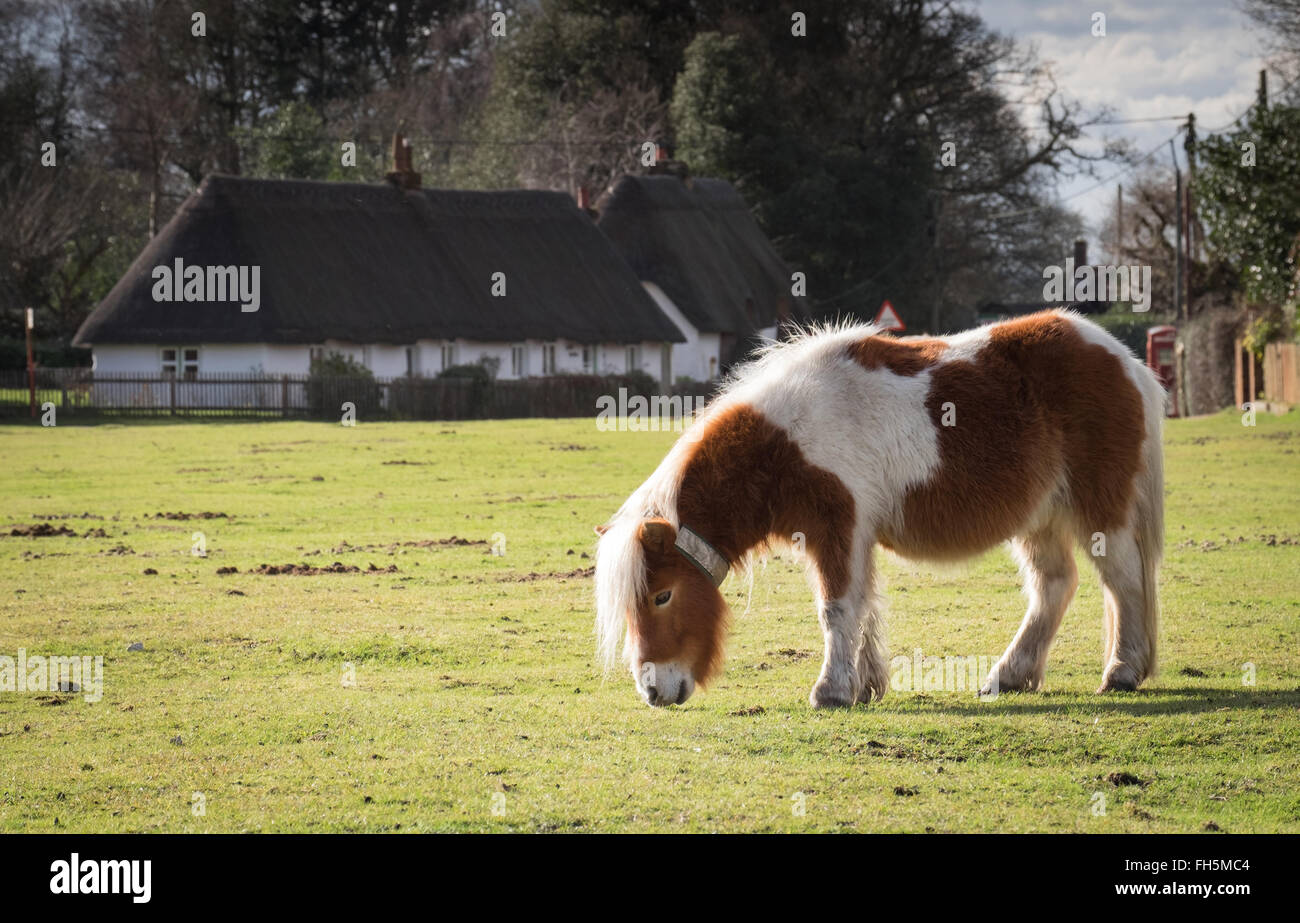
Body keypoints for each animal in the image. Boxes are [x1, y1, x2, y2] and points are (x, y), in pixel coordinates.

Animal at [598, 310, 1170, 707]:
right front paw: (865, 684)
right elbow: (863, 604)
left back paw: (1121, 672)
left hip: (1100, 511)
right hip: (1041, 518)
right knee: (1054, 586)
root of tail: (1125, 361)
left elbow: (836, 608)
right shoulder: (851, 535)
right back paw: (1010, 675)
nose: (652, 691)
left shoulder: (839, 527)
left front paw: (830, 691)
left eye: (663, 595)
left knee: (1122, 581)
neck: (788, 439)